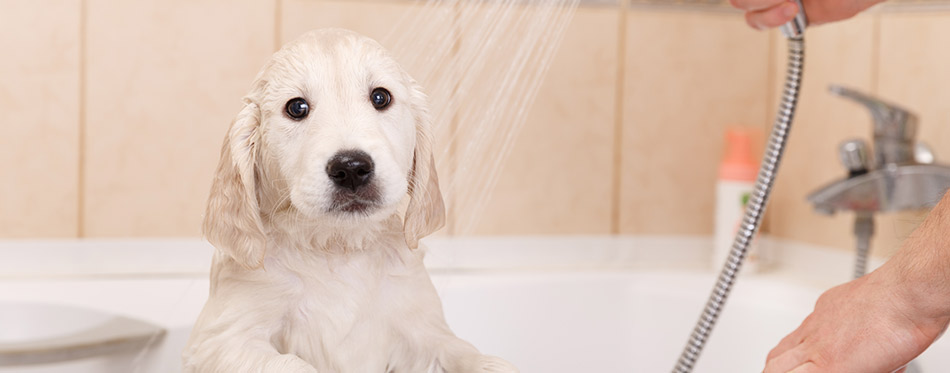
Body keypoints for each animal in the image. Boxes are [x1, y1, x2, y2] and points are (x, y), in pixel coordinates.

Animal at [181, 29, 516, 372]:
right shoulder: (222, 341)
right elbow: (291, 364)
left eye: (380, 97)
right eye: (296, 107)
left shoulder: (422, 328)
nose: (352, 168)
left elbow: (463, 353)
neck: (336, 247)